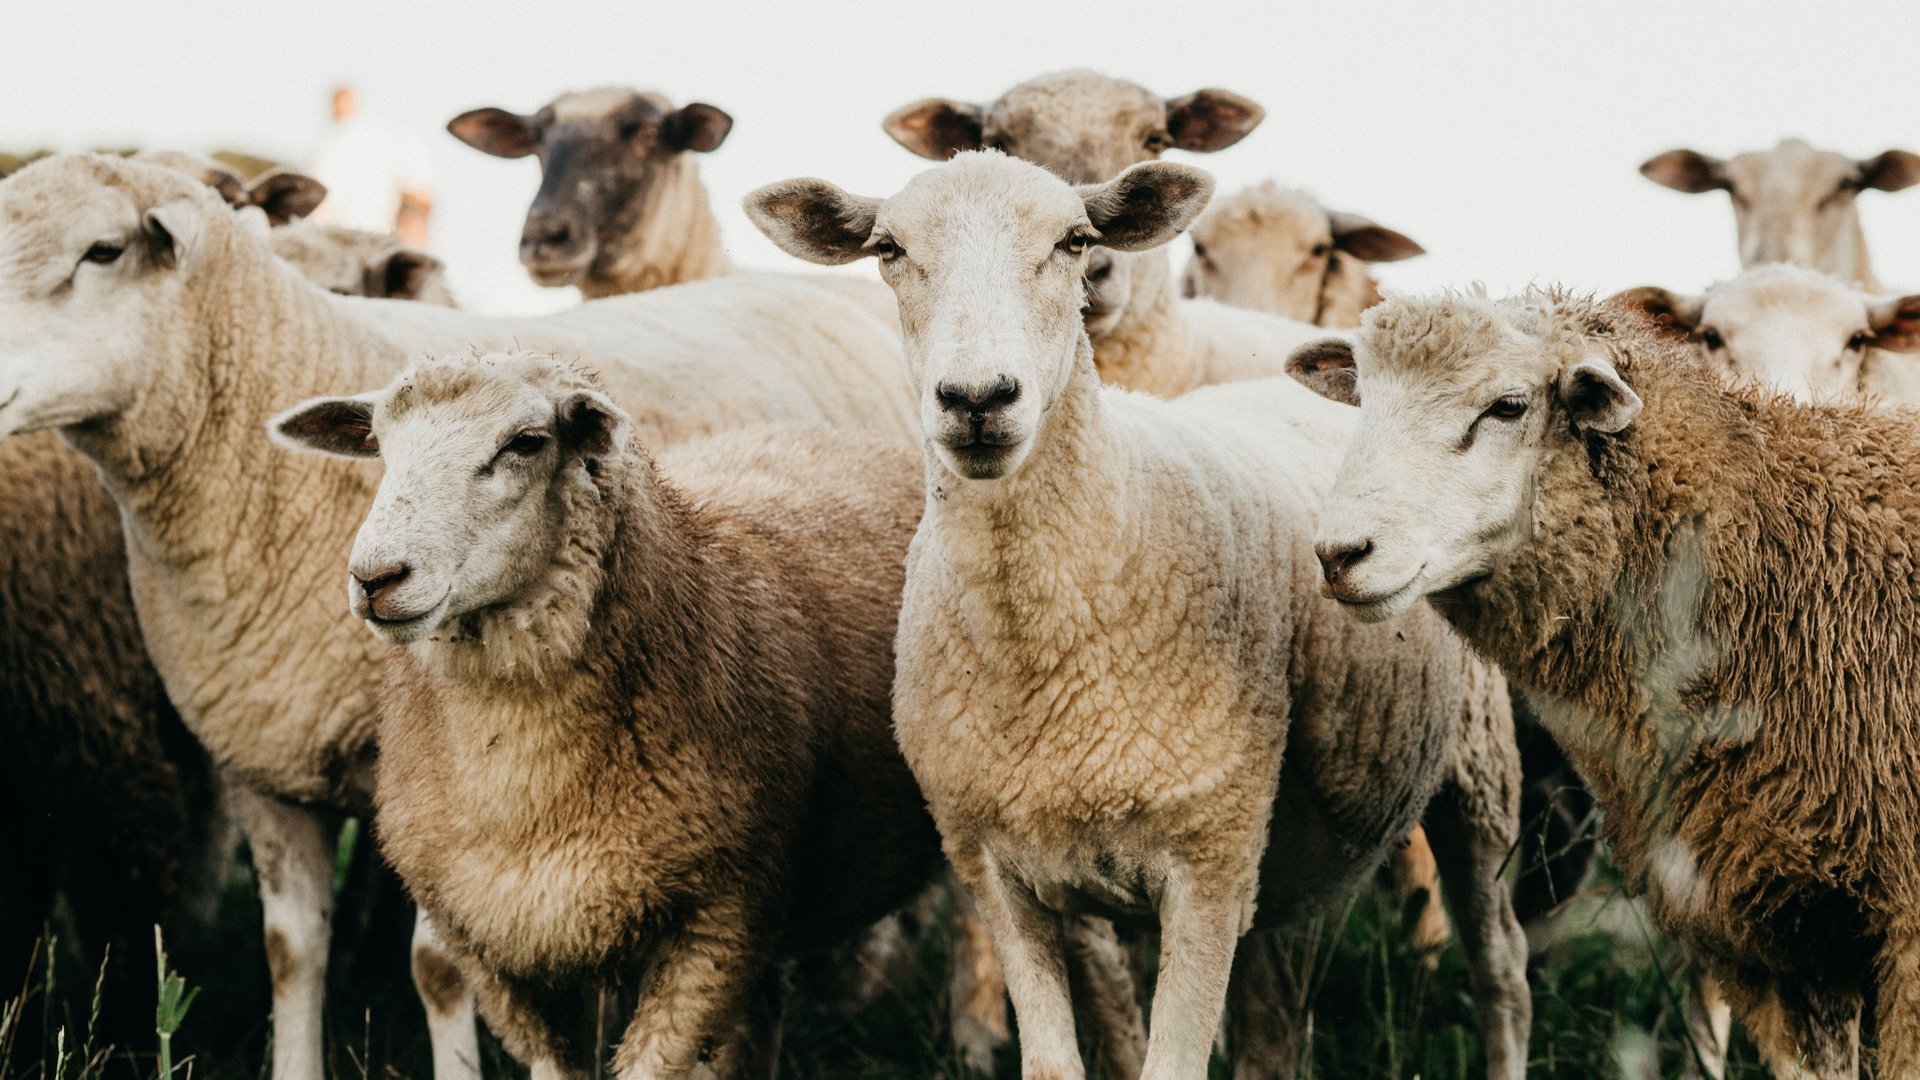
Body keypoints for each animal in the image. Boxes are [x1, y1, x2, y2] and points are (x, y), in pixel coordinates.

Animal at [265, 351, 942, 1077]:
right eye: (381, 444)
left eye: (526, 443)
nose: (374, 577)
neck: (527, 789)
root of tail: (833, 436)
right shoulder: (508, 947)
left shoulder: (716, 923)